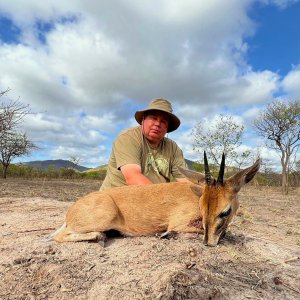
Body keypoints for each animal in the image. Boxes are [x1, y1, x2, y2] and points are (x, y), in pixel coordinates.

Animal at [49, 154, 260, 247]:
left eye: (225, 211)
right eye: (201, 208)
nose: (209, 243)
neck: (195, 194)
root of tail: (71, 211)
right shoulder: (180, 223)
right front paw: (167, 235)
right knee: (58, 236)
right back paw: (99, 237)